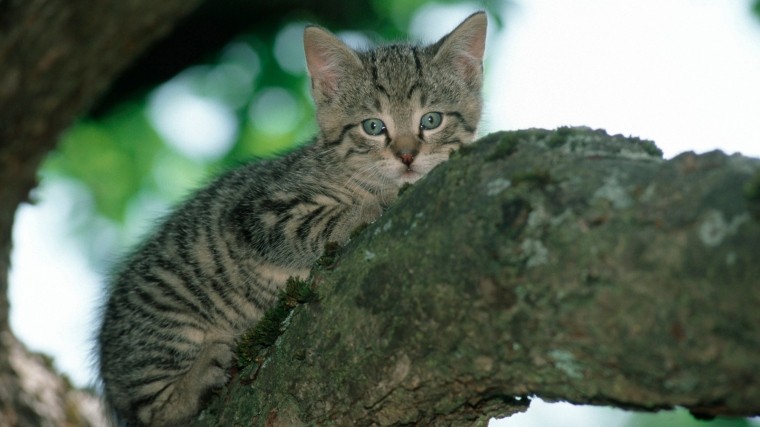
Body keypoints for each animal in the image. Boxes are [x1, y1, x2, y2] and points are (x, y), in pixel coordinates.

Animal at [96, 11, 486, 426]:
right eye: (373, 126)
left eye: (431, 120)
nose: (408, 156)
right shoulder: (260, 212)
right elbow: (314, 223)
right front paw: (371, 207)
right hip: (168, 319)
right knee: (150, 408)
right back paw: (194, 382)